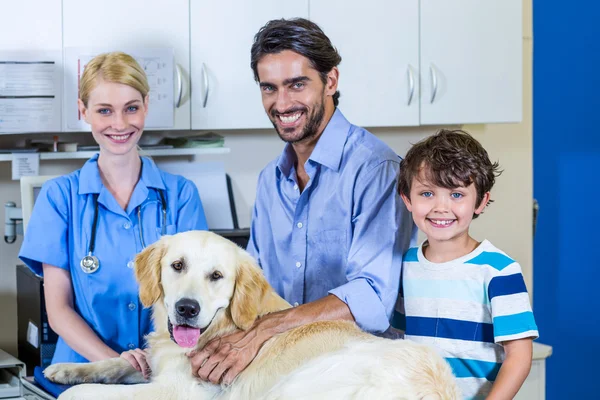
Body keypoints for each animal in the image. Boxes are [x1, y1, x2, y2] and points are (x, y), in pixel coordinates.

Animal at [44, 230, 462, 398]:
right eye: (177, 265)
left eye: (217, 276)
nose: (186, 309)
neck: (221, 329)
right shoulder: (158, 362)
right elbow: (118, 362)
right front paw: (65, 369)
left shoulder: (177, 391)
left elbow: (86, 395)